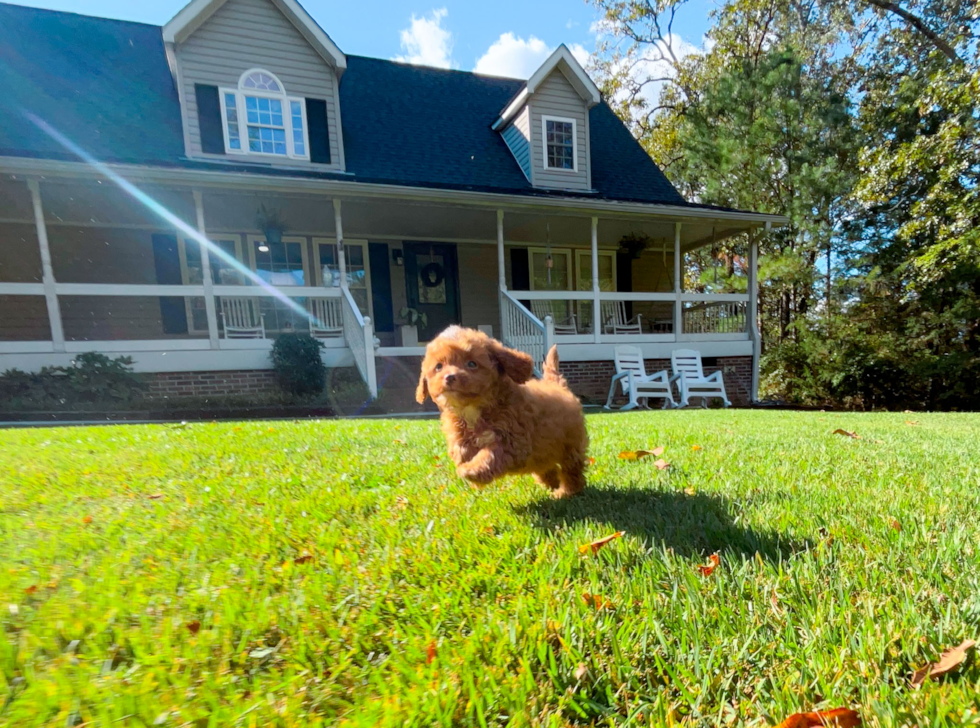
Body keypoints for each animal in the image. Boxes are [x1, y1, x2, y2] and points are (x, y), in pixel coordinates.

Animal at [416, 328, 588, 498]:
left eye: (472, 364)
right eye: (439, 366)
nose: (449, 377)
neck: (474, 409)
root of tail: (557, 385)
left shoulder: (514, 442)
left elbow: (491, 455)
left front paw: (471, 470)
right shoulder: (460, 433)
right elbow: (461, 450)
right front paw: (466, 461)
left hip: (571, 447)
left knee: (571, 470)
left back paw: (566, 491)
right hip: (543, 455)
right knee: (546, 468)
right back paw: (552, 484)